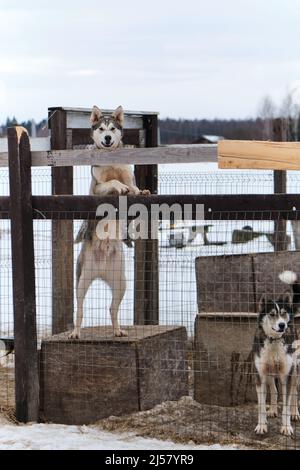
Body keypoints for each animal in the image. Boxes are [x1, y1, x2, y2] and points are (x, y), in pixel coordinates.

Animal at [68, 103, 149, 338]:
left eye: (112, 129)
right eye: (101, 128)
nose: (106, 138)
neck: (111, 159)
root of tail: (101, 270)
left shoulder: (129, 176)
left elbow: (133, 186)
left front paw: (139, 191)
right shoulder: (96, 189)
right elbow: (113, 182)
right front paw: (120, 187)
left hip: (120, 282)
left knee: (112, 308)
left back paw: (117, 329)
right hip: (82, 280)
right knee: (80, 309)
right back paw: (76, 332)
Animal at [252, 272, 298, 436]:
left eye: (283, 314)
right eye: (272, 314)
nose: (282, 325)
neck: (274, 341)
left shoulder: (286, 374)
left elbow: (286, 403)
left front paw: (286, 427)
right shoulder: (260, 374)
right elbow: (261, 405)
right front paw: (261, 425)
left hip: (295, 370)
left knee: (294, 393)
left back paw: (295, 413)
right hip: (270, 373)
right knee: (274, 390)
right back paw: (272, 409)